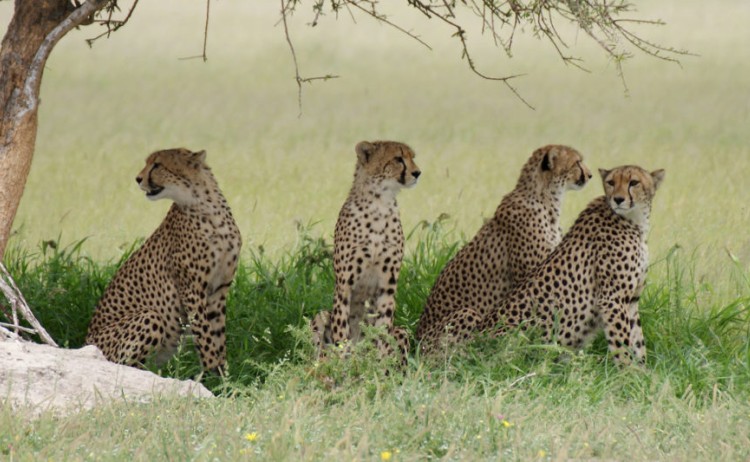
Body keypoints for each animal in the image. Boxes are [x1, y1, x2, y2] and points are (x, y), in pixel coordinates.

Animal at [86, 148, 242, 374]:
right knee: (123, 367)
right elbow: (205, 336)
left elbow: (218, 337)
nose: (138, 178)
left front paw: (224, 375)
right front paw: (213, 374)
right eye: (148, 163)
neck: (205, 205)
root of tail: (86, 342)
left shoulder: (219, 289)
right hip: (149, 317)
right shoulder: (192, 289)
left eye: (157, 165)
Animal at [310, 140, 421, 364]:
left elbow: (382, 330)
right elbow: (342, 329)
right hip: (320, 317)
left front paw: (376, 363)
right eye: (398, 159)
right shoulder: (345, 285)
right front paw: (344, 361)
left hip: (402, 331)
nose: (417, 173)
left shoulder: (388, 284)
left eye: (412, 157)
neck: (380, 204)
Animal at [446, 164, 665, 364]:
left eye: (633, 182)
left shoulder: (631, 301)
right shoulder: (612, 299)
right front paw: (628, 374)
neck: (635, 222)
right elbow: (622, 345)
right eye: (611, 182)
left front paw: (642, 375)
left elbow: (637, 343)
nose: (618, 199)